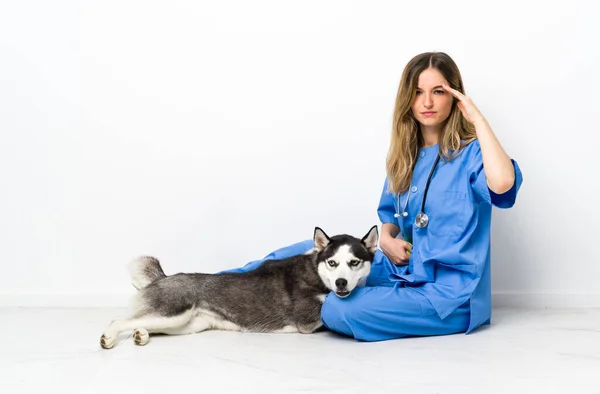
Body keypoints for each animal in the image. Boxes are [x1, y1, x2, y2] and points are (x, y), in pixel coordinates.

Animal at [100, 225, 378, 348]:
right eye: (332, 263)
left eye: (354, 262)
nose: (341, 282)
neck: (316, 273)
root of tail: (162, 277)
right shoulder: (307, 320)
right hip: (172, 311)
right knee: (117, 320)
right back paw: (110, 337)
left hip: (183, 324)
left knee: (140, 324)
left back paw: (141, 334)